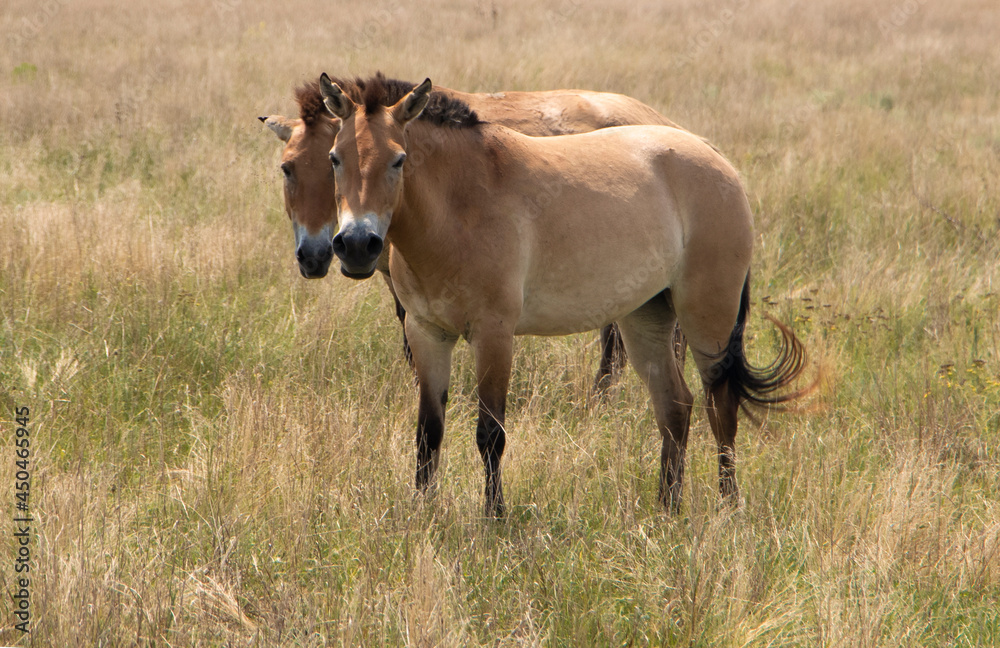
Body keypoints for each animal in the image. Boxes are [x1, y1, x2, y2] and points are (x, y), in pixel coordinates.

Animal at [316, 72, 808, 516]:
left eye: (399, 160)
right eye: (335, 158)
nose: (357, 245)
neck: (460, 206)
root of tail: (715, 157)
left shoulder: (494, 336)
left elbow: (490, 434)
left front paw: (494, 517)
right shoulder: (428, 334)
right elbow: (428, 432)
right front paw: (422, 513)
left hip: (708, 318)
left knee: (720, 407)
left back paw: (728, 507)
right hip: (646, 318)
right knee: (675, 407)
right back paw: (667, 508)